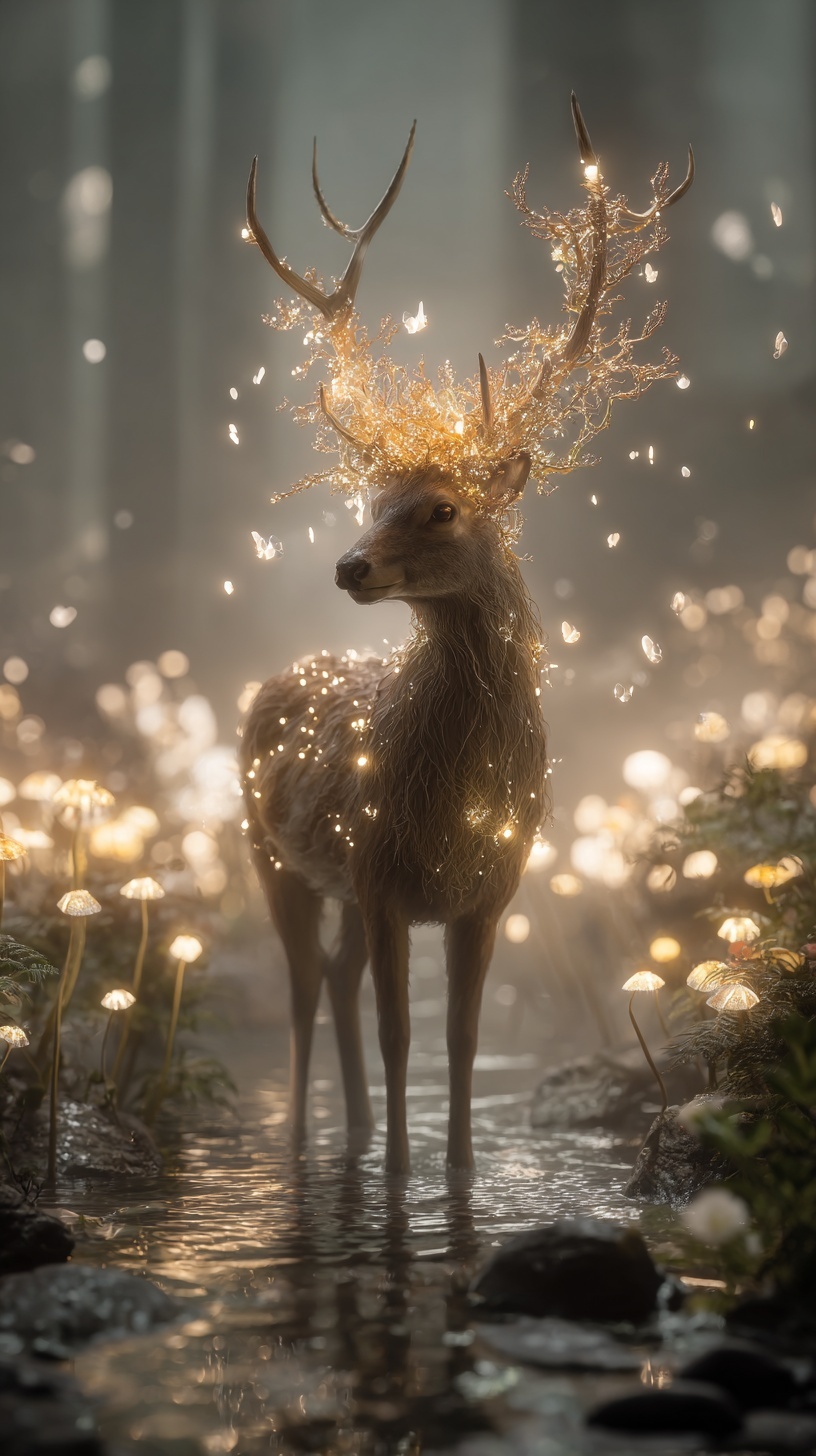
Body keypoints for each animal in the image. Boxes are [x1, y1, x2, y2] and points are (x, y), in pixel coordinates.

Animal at [240, 96, 692, 1174]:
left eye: (441, 509)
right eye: (371, 501)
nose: (348, 566)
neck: (452, 807)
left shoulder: (489, 892)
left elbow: (462, 1037)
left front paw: (453, 1169)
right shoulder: (383, 874)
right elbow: (406, 1035)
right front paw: (404, 1174)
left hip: (334, 880)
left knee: (337, 979)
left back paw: (357, 1132)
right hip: (269, 853)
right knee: (308, 987)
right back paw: (312, 1143)